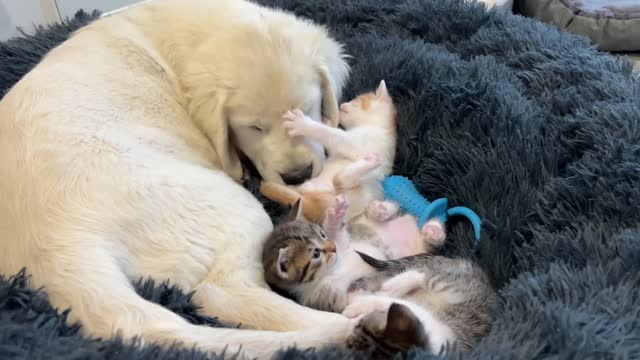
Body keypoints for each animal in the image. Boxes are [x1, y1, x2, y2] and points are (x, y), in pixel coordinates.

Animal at [0, 0, 352, 358]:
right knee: (224, 291)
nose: (298, 176)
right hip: (225, 205)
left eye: (307, 110)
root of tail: (53, 242)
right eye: (255, 127)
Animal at [258, 80, 396, 224]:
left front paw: (303, 124)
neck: (377, 125)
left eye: (357, 100)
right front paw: (327, 121)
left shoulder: (355, 144)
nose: (342, 104)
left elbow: (330, 133)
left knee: (338, 180)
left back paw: (370, 164)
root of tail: (319, 209)